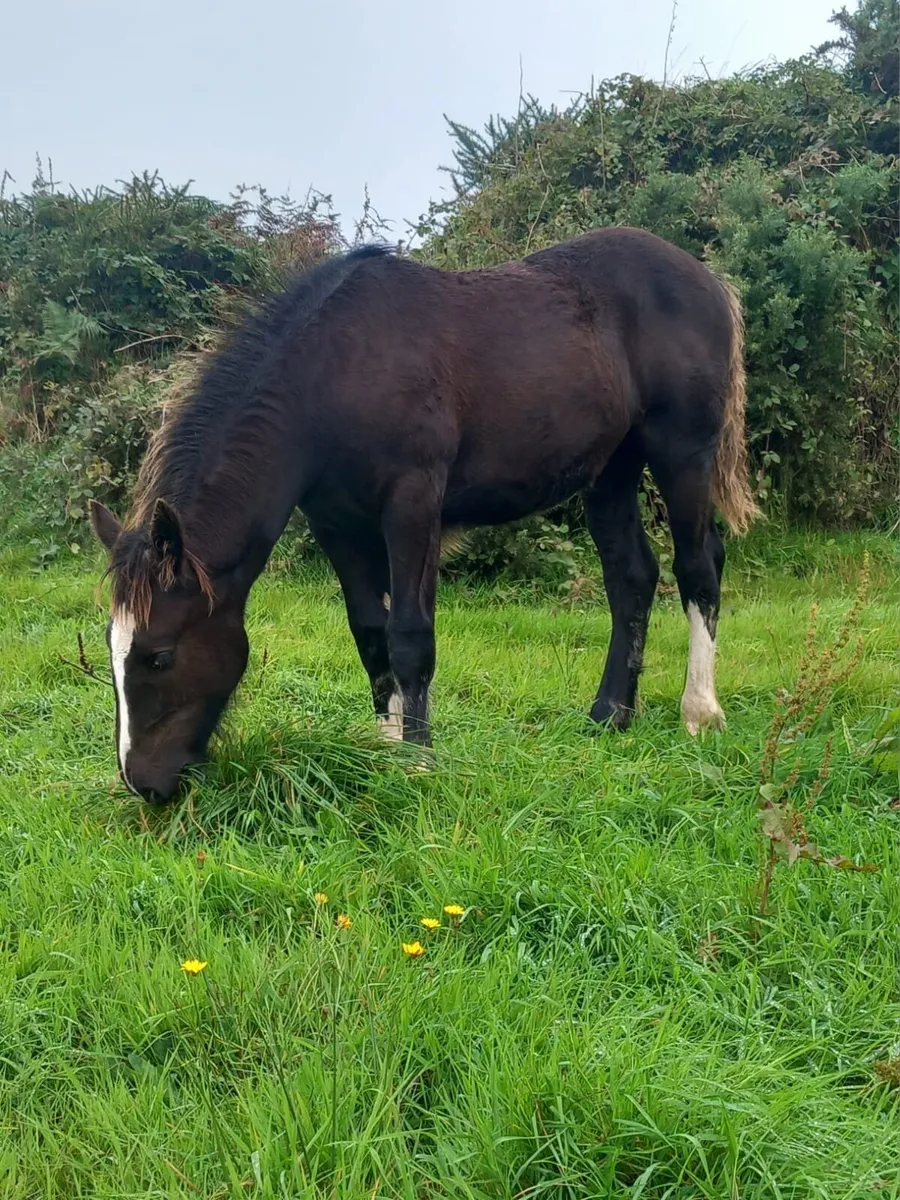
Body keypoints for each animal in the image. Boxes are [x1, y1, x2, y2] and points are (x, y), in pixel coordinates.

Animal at [89, 227, 758, 803]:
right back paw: (610, 716)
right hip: (611, 469)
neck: (333, 373)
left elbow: (409, 636)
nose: (142, 784)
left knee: (698, 567)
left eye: (159, 655)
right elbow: (369, 633)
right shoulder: (338, 526)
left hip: (681, 452)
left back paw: (700, 713)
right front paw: (383, 749)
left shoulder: (411, 506)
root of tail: (707, 279)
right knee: (632, 577)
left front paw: (416, 762)